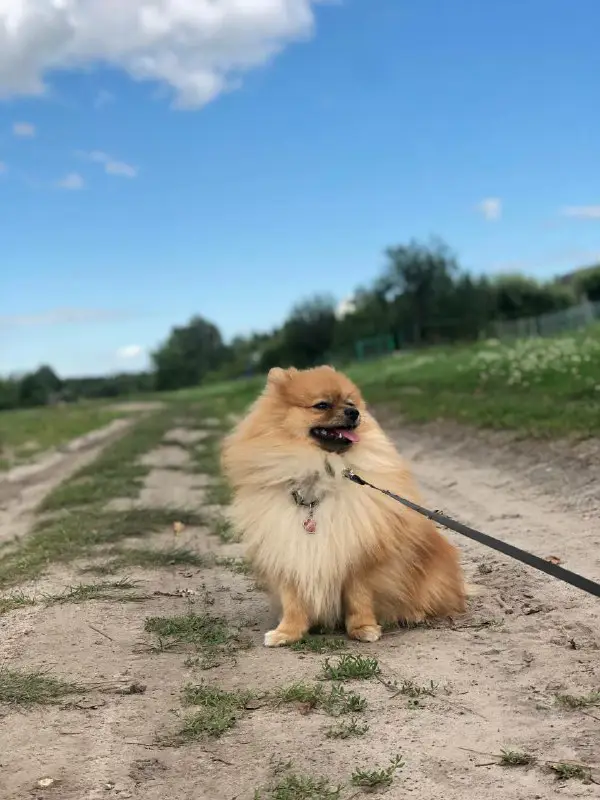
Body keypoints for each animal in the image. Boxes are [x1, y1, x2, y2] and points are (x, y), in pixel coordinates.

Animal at [218, 362, 466, 644]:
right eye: (322, 405)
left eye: (350, 402)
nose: (354, 413)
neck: (319, 474)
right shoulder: (288, 549)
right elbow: (293, 599)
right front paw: (287, 632)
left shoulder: (358, 554)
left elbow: (359, 596)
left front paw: (363, 628)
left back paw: (414, 613)